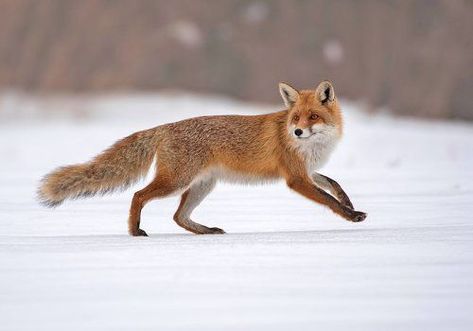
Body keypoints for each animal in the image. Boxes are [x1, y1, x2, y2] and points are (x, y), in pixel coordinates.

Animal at [38, 80, 366, 236]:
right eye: (296, 117)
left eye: (313, 117)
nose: (297, 131)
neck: (312, 147)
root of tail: (164, 127)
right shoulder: (295, 178)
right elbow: (328, 200)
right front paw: (350, 216)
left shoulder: (306, 171)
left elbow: (333, 184)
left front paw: (350, 203)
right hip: (176, 182)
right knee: (138, 195)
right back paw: (134, 231)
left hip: (201, 185)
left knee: (178, 216)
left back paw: (206, 231)